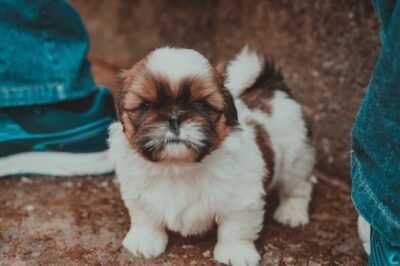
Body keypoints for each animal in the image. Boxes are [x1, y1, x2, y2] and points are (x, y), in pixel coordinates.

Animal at [108, 47, 316, 266]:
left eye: (201, 104)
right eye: (146, 105)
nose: (174, 118)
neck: (177, 167)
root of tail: (272, 89)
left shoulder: (242, 198)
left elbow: (235, 228)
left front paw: (236, 252)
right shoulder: (137, 191)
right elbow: (144, 216)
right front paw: (144, 240)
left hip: (296, 160)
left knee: (299, 187)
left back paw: (292, 213)